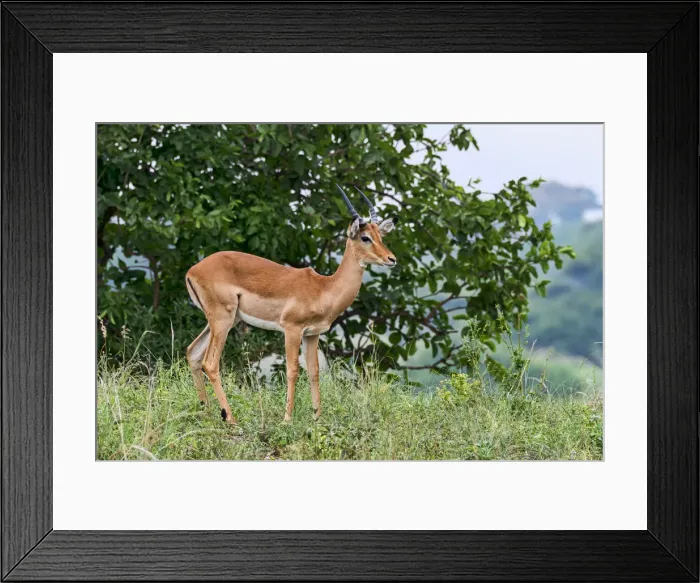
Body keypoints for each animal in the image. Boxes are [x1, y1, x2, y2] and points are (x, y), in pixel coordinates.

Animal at [185, 185, 398, 424]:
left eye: (380, 235)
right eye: (365, 237)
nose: (391, 259)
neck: (324, 288)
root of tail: (193, 270)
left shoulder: (312, 334)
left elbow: (314, 371)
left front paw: (317, 418)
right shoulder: (292, 329)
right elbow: (293, 370)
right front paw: (287, 419)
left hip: (221, 321)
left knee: (193, 353)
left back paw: (207, 413)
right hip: (223, 320)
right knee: (210, 363)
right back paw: (231, 419)